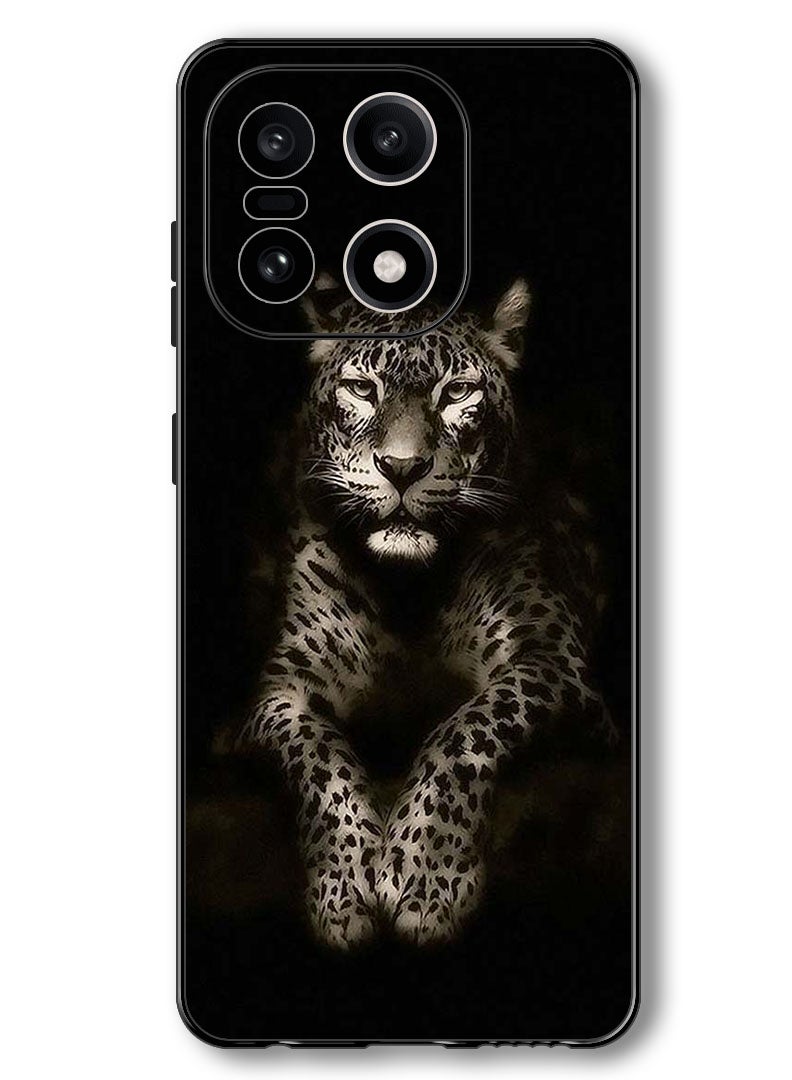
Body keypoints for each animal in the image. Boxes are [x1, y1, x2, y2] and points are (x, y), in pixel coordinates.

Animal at [237, 276, 616, 949]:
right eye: (363, 389)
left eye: (457, 392)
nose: (403, 467)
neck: (407, 592)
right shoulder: (280, 691)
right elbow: (318, 755)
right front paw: (344, 887)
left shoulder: (553, 661)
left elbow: (466, 729)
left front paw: (424, 876)